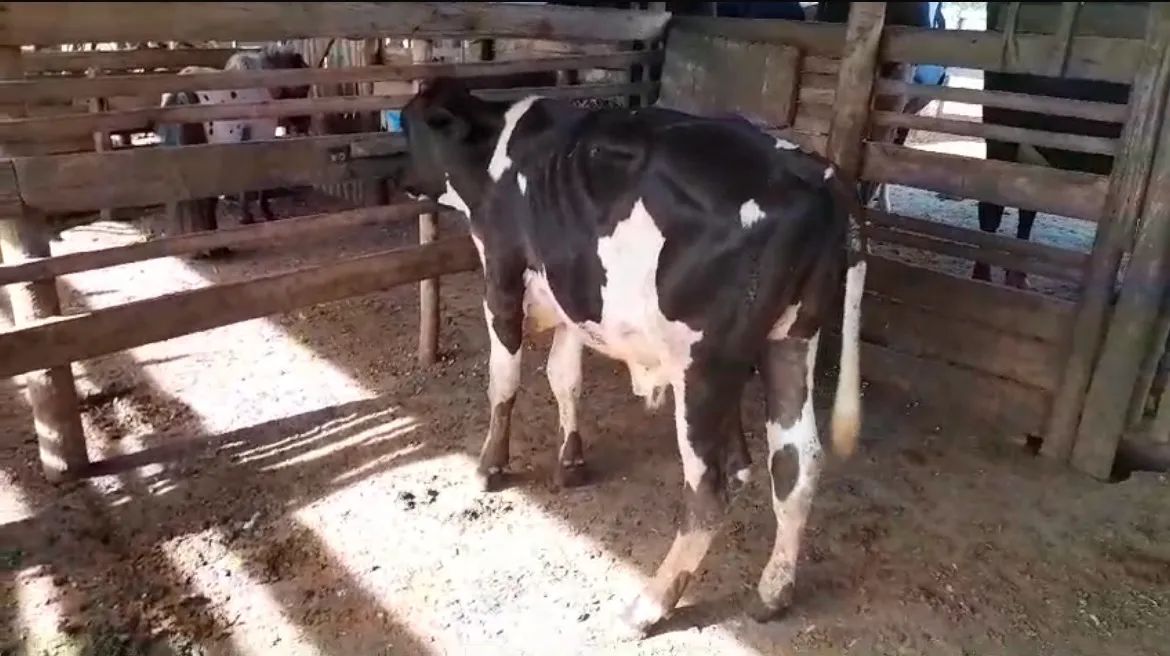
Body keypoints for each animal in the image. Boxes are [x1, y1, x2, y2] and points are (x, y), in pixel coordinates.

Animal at [397, 77, 867, 636]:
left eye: (408, 125)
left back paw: (652, 603)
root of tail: (816, 173)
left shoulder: (502, 276)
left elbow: (504, 381)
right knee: (797, 463)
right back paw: (774, 592)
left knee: (708, 488)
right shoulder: (575, 295)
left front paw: (490, 467)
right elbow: (564, 376)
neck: (494, 151)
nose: (398, 178)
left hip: (703, 364)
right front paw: (571, 460)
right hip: (790, 341)